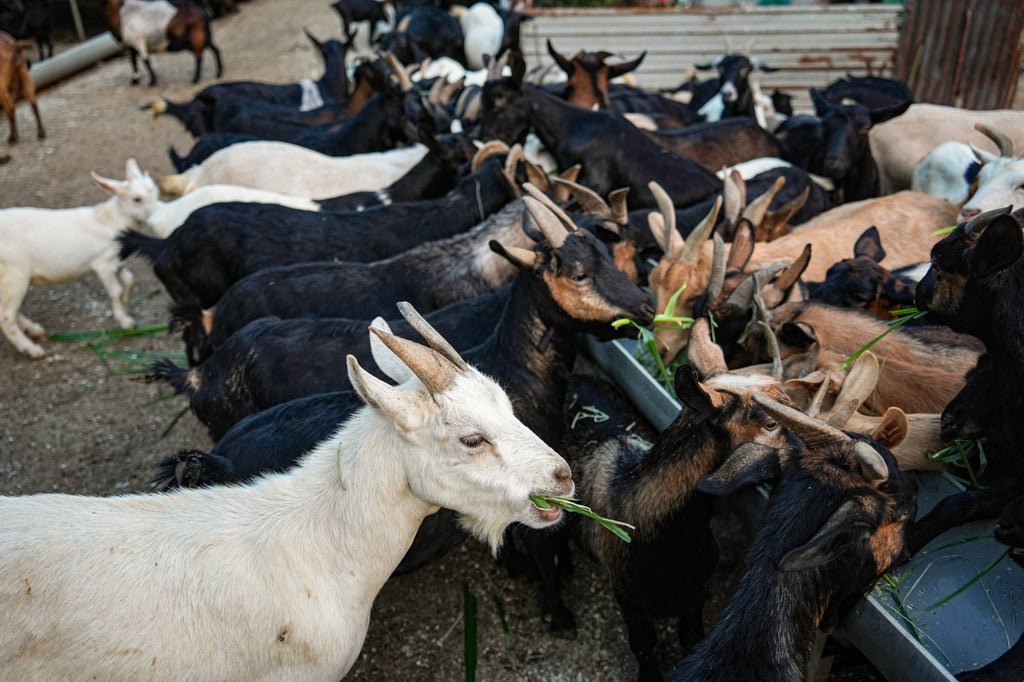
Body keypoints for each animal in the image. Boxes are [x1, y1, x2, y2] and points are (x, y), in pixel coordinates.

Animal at [0, 159, 157, 358]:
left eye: (154, 190)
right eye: (137, 199)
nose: (155, 216)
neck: (110, 221)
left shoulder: (117, 262)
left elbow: (130, 280)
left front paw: (126, 304)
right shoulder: (103, 265)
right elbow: (116, 290)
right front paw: (125, 322)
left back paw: (34, 330)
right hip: (14, 274)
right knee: (6, 317)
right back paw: (33, 349)